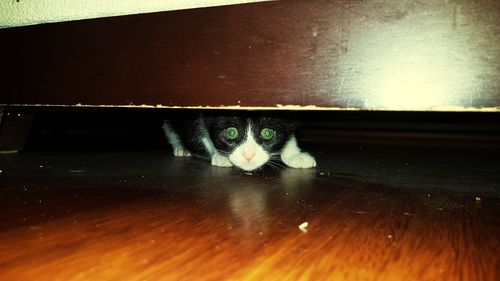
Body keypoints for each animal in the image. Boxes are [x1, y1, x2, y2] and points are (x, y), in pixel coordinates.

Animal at [162, 112, 314, 171]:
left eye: (267, 133)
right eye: (231, 132)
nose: (248, 156)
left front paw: (294, 154)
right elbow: (199, 130)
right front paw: (221, 156)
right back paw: (181, 148)